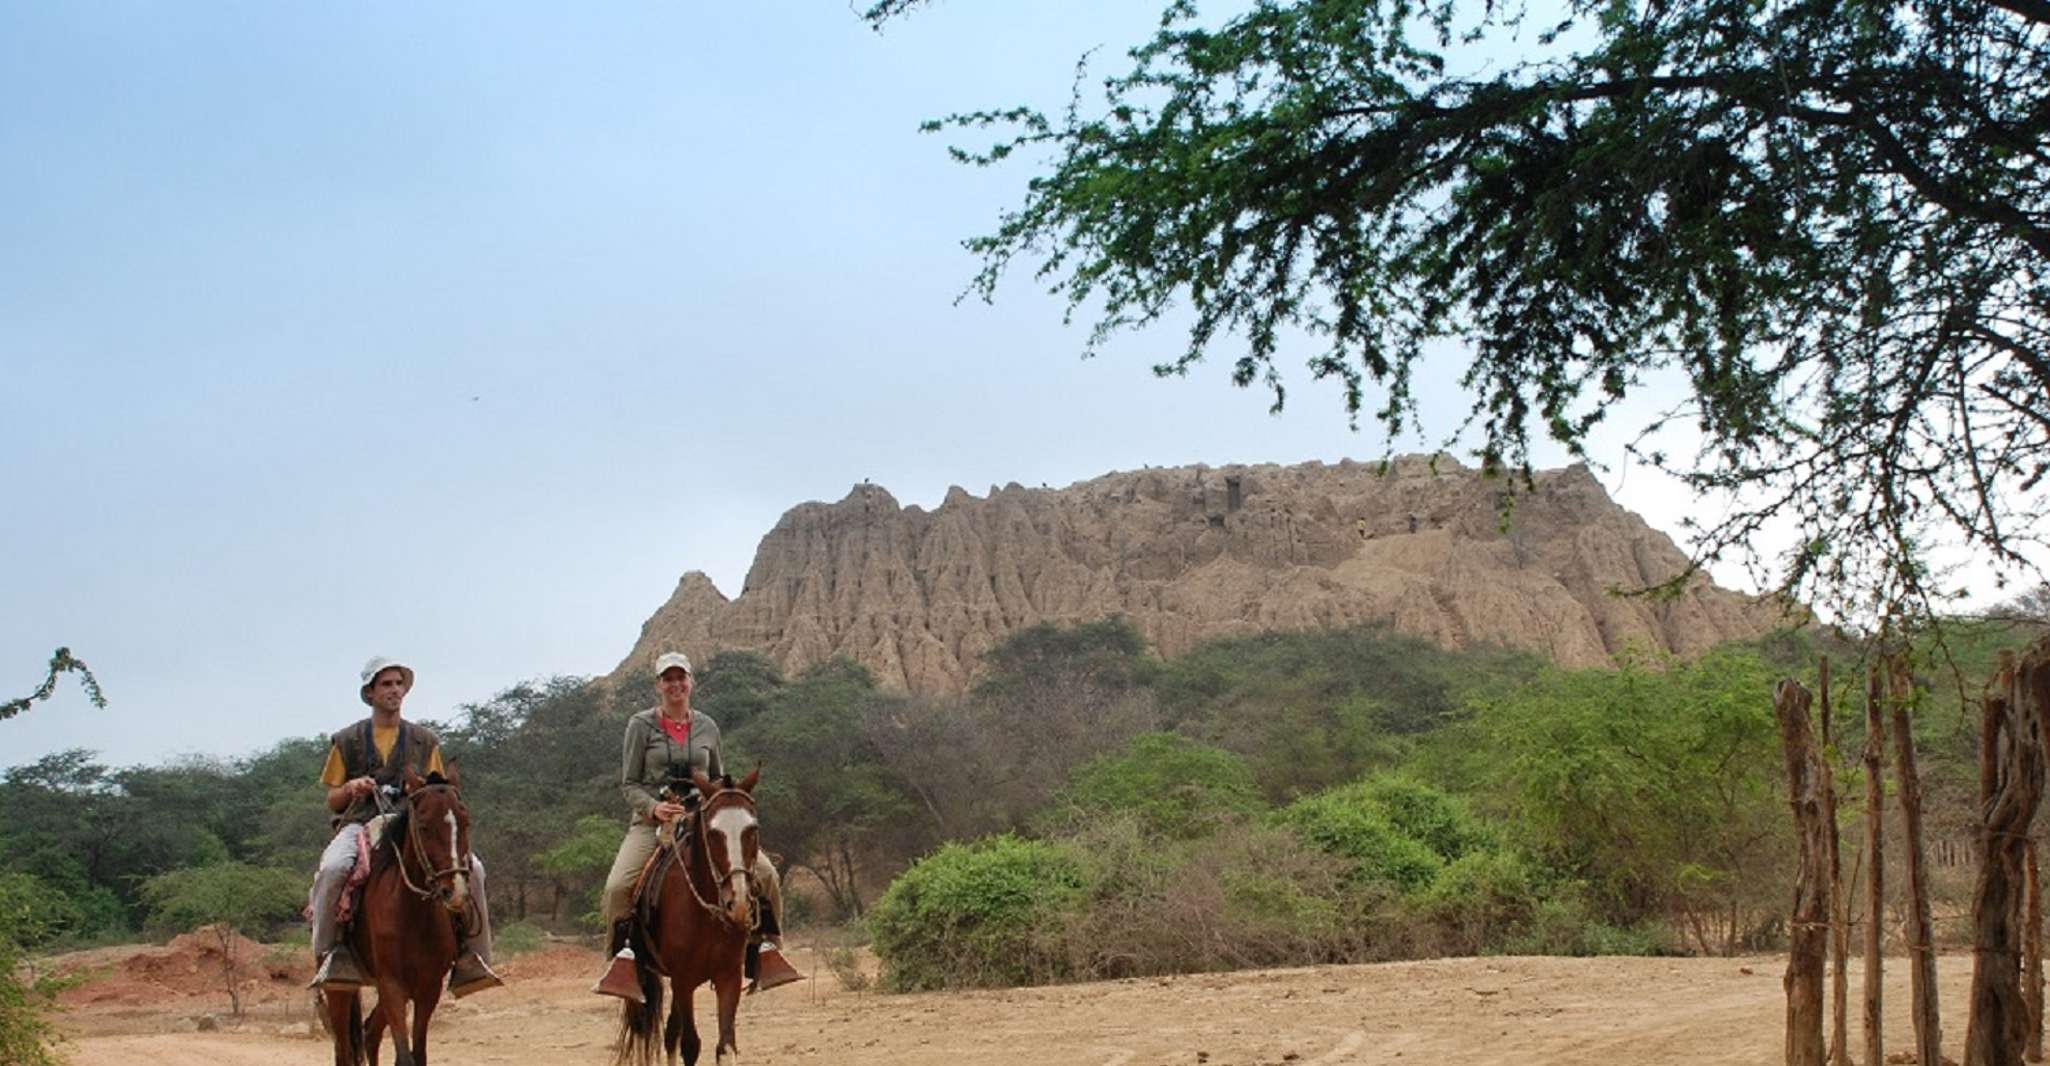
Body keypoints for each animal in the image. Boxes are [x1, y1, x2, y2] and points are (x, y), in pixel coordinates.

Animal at [321, 766, 473, 1066]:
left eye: (465, 822)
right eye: (424, 826)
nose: (456, 891)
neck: (413, 913)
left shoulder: (428, 987)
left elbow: (419, 1054)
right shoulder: (392, 984)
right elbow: (404, 1057)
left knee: (370, 1031)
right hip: (340, 989)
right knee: (343, 1049)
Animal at [615, 770, 770, 1066]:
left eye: (753, 830)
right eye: (713, 833)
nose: (738, 904)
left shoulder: (728, 976)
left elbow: (725, 1045)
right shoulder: (683, 979)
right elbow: (690, 1045)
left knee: (669, 1034)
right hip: (639, 977)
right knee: (641, 1030)